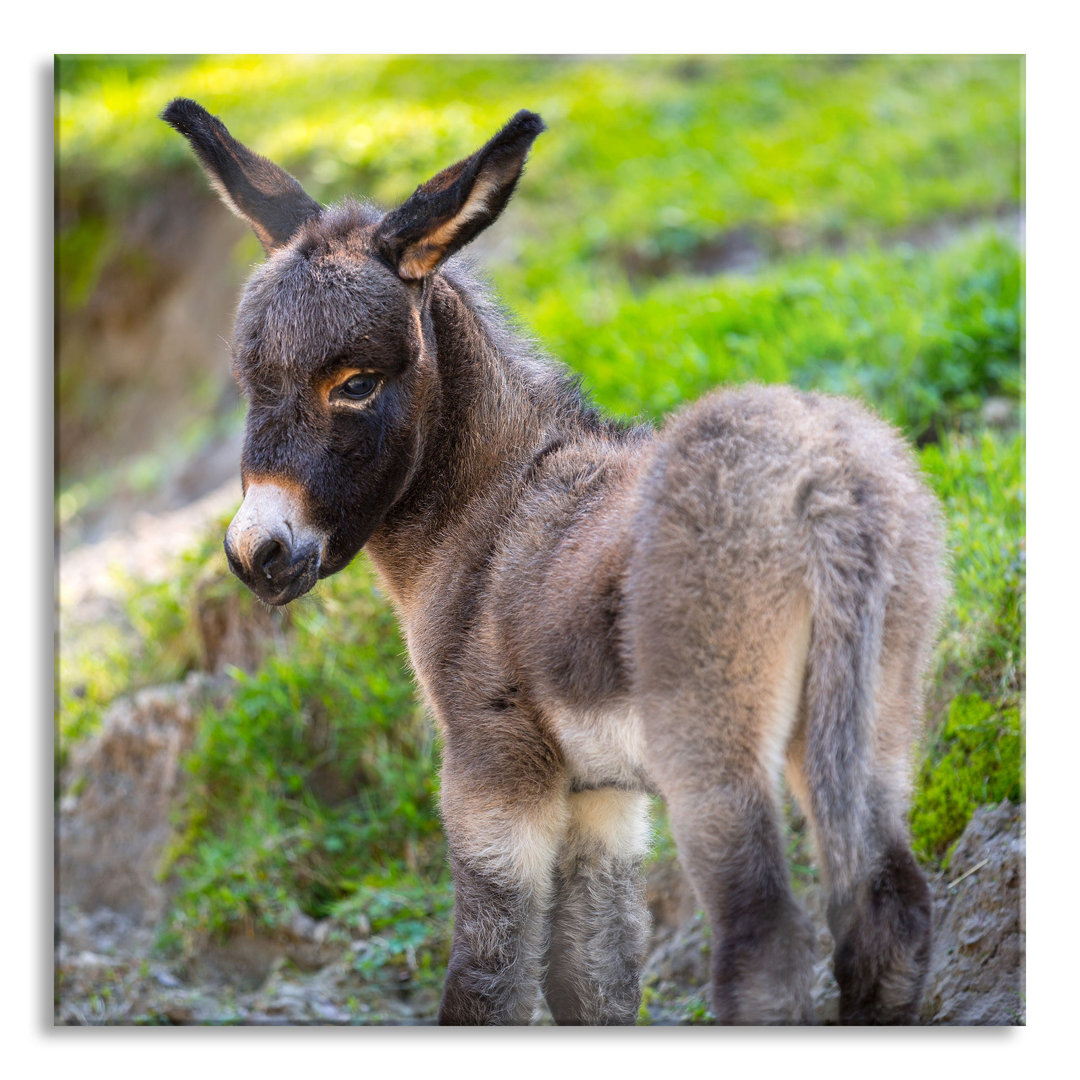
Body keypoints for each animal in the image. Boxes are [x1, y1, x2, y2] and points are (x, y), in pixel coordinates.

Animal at [162, 103, 946, 1028]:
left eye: (354, 383)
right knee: (889, 911)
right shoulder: (603, 797)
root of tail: (829, 483)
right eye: (251, 381)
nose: (259, 554)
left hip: (715, 750)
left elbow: (488, 982)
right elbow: (593, 979)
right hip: (872, 718)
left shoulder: (492, 771)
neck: (489, 508)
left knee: (764, 946)